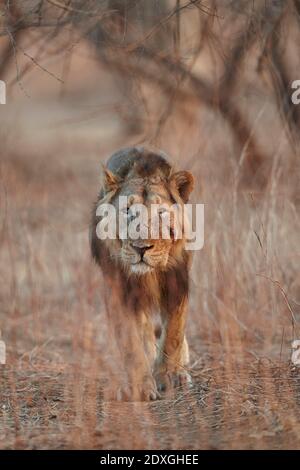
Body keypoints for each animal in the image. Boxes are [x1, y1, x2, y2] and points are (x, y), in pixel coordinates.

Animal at [90, 146, 195, 400]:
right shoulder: (118, 291)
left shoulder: (177, 283)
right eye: (128, 211)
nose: (141, 247)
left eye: (161, 213)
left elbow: (174, 333)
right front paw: (140, 385)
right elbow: (131, 342)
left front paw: (168, 376)